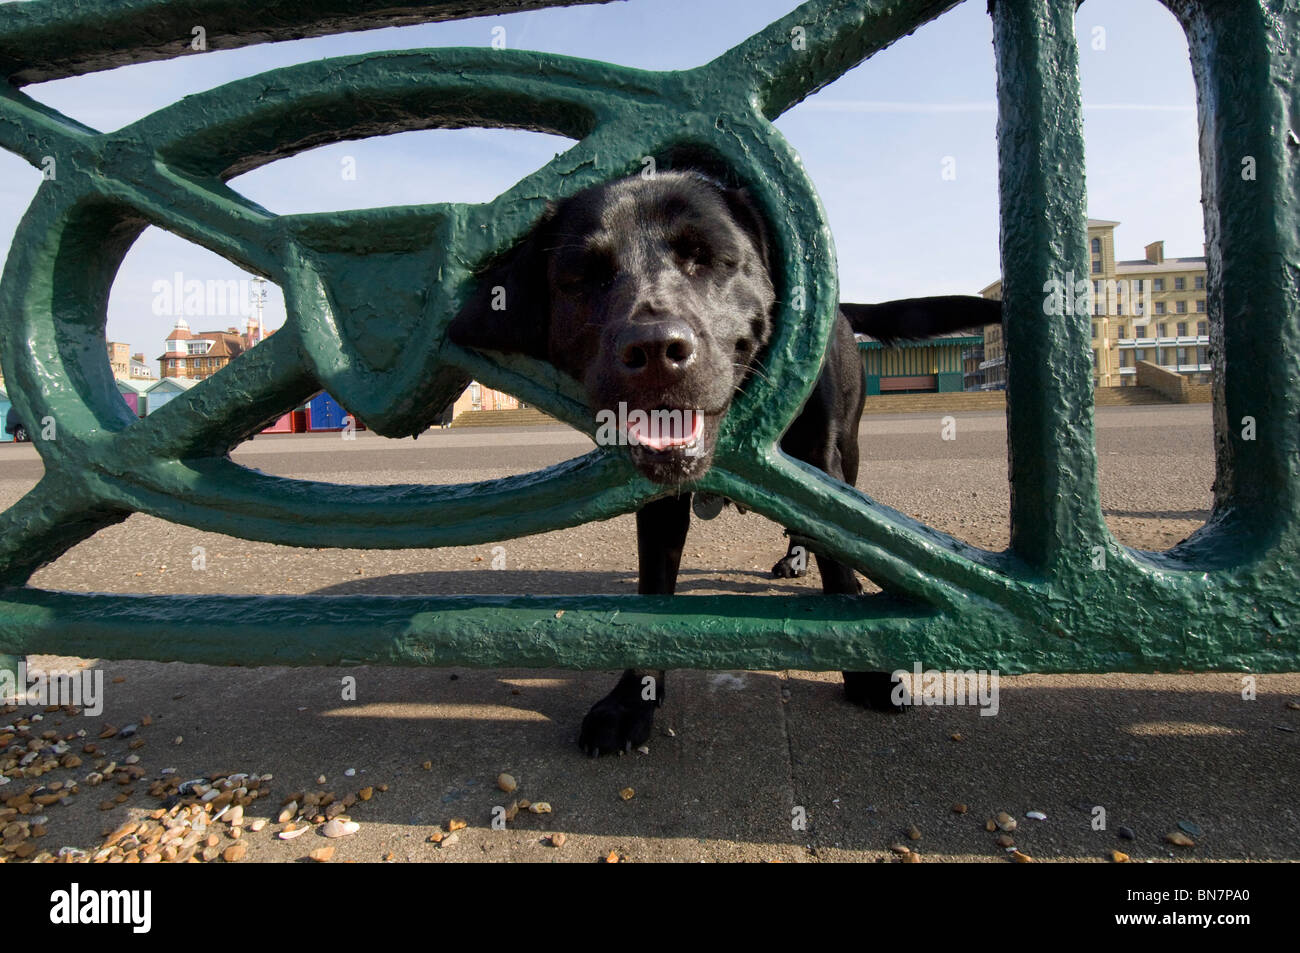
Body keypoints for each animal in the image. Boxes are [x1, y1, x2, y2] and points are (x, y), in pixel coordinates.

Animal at [452, 169, 998, 748]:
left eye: (708, 257)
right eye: (583, 276)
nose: (655, 350)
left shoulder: (818, 461)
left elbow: (840, 561)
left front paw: (866, 673)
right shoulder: (658, 503)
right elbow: (653, 595)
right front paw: (632, 700)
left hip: (846, 451)